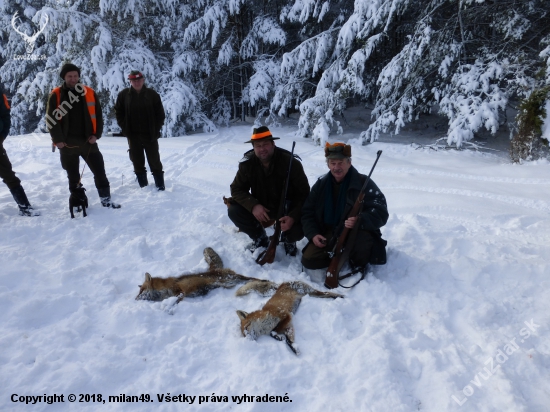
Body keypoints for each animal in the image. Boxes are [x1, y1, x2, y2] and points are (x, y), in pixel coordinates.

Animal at [138, 248, 272, 302]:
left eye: (141, 291)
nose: (135, 299)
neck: (165, 289)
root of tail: (214, 269)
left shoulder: (181, 290)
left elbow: (176, 300)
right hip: (230, 282)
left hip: (233, 277)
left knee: (251, 278)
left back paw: (265, 280)